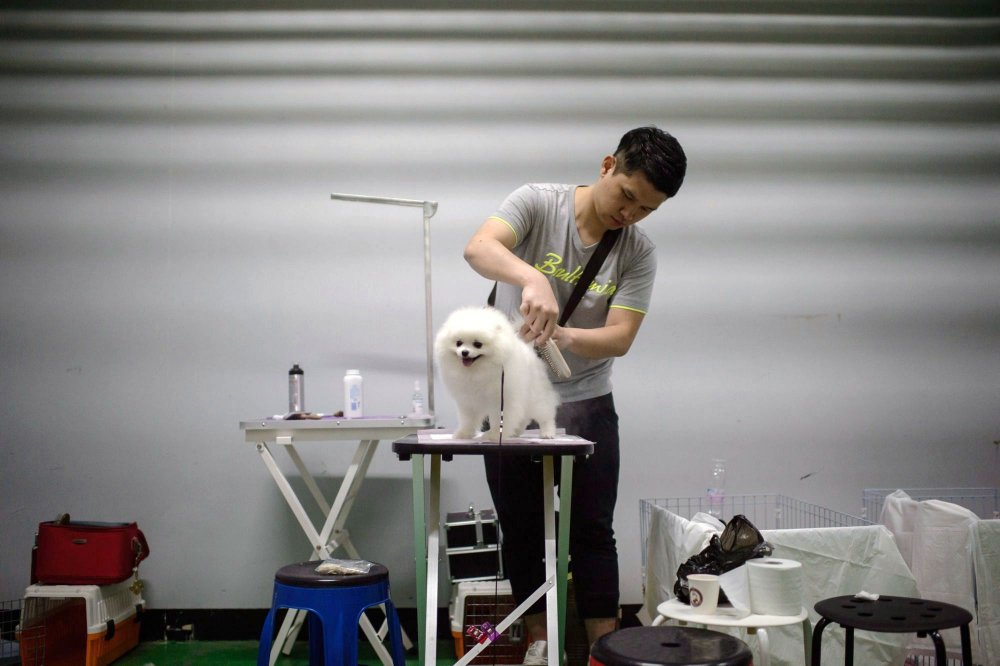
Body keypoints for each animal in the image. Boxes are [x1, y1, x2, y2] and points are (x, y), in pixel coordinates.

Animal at [438, 304, 564, 438]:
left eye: (478, 344)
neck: (478, 371)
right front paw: (464, 434)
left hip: (536, 396)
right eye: (459, 343)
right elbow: (468, 420)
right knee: (524, 417)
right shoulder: (468, 401)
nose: (464, 352)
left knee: (546, 414)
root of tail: (530, 351)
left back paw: (547, 432)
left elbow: (499, 420)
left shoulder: (501, 400)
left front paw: (493, 435)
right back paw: (516, 432)